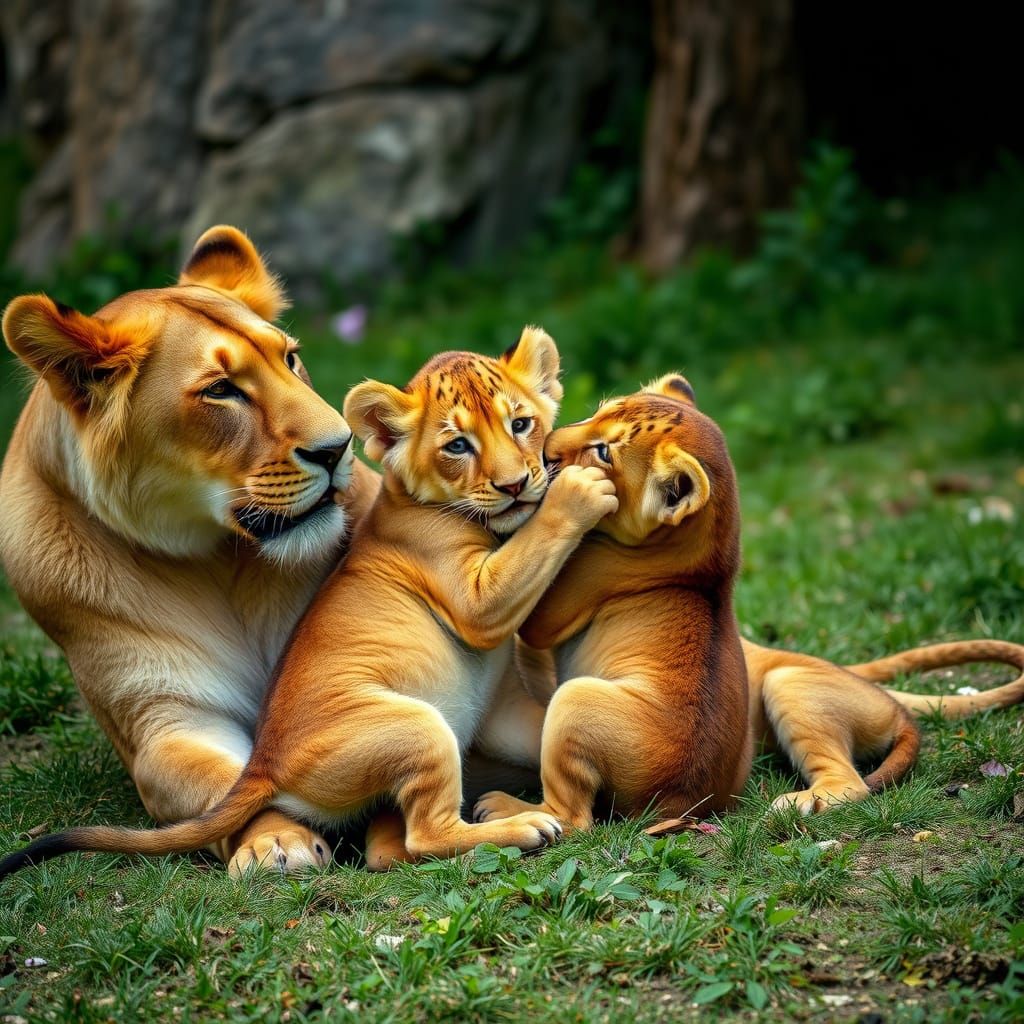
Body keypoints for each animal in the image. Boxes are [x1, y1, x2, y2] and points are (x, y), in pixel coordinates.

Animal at [0, 226, 379, 875]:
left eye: (290, 358)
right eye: (221, 390)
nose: (338, 447)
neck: (218, 560)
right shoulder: (164, 718)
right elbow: (222, 787)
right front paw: (277, 842)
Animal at [0, 328, 620, 879]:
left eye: (521, 423)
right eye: (457, 446)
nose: (515, 485)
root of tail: (263, 765)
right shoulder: (474, 600)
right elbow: (529, 545)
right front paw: (579, 488)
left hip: (497, 727)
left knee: (394, 843)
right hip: (418, 728)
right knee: (423, 836)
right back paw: (522, 828)